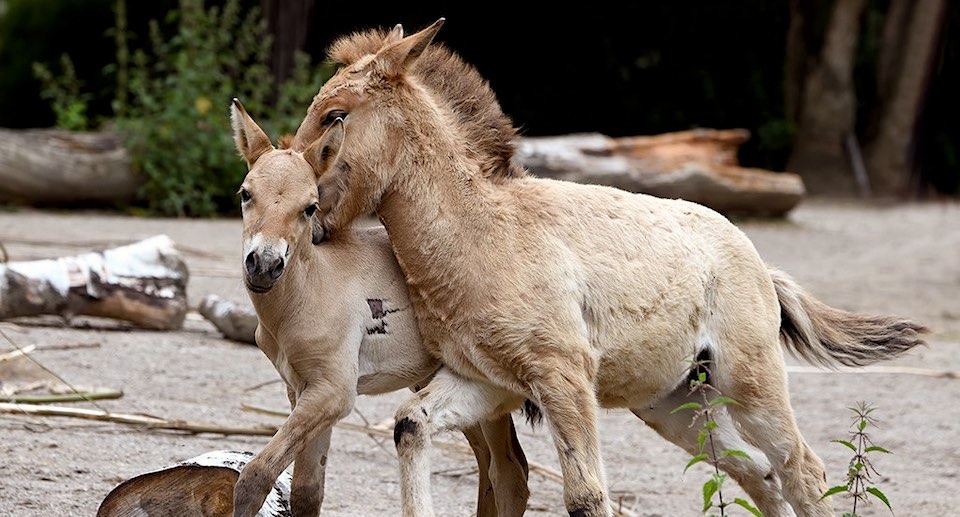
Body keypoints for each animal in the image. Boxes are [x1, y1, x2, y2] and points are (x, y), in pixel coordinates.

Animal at [225, 98, 528, 516]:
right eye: (245, 193)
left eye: (309, 207)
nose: (264, 265)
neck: (309, 293)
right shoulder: (303, 391)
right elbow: (306, 492)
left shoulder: (333, 392)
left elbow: (256, 475)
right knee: (491, 466)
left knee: (509, 472)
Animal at [294, 20, 928, 516]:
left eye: (334, 116)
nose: (302, 217)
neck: (484, 232)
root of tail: (757, 263)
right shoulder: (483, 379)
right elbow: (411, 425)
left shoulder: (564, 378)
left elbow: (586, 497)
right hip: (678, 406)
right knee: (759, 474)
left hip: (750, 384)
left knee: (802, 469)